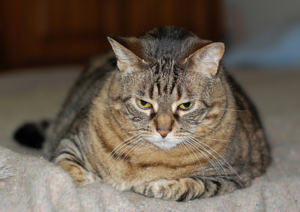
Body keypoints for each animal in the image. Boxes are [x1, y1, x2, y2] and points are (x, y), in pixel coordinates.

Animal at [14, 26, 272, 202]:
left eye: (186, 105)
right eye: (143, 103)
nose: (163, 130)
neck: (146, 158)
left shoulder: (234, 174)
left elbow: (188, 187)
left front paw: (153, 186)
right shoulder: (71, 139)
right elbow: (65, 164)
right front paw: (87, 179)